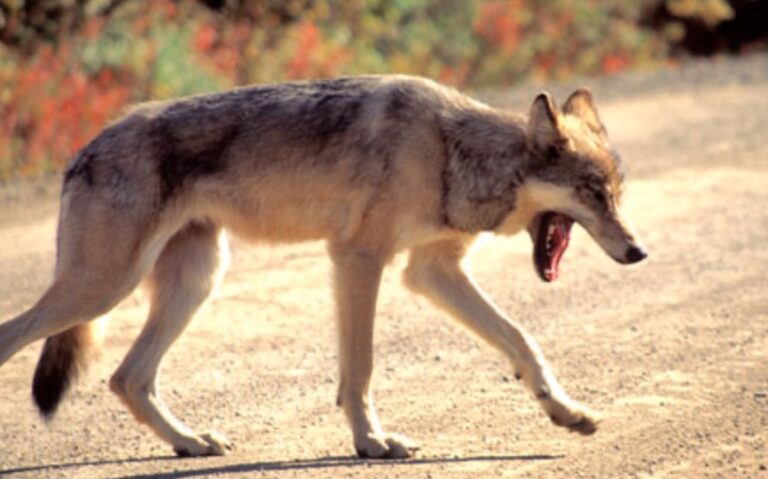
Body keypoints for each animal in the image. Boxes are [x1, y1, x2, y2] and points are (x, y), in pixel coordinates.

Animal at [0, 75, 646, 459]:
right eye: (593, 194)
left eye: (616, 194)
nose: (639, 252)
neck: (452, 152)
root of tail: (82, 150)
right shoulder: (359, 258)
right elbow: (359, 369)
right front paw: (373, 442)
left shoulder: (429, 272)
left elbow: (523, 342)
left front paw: (567, 413)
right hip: (102, 288)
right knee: (17, 336)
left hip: (192, 282)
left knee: (127, 378)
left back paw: (190, 442)